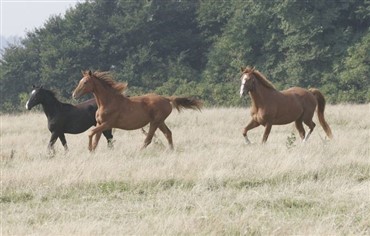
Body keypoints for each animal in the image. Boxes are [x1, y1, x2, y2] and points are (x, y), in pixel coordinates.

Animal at [72, 70, 202, 151]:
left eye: (85, 82)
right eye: (80, 81)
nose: (74, 95)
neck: (107, 102)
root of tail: (166, 98)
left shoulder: (107, 124)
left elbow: (90, 133)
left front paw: (89, 149)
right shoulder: (100, 124)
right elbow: (96, 140)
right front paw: (92, 151)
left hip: (155, 122)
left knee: (148, 139)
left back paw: (138, 152)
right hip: (160, 122)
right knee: (168, 134)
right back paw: (171, 150)